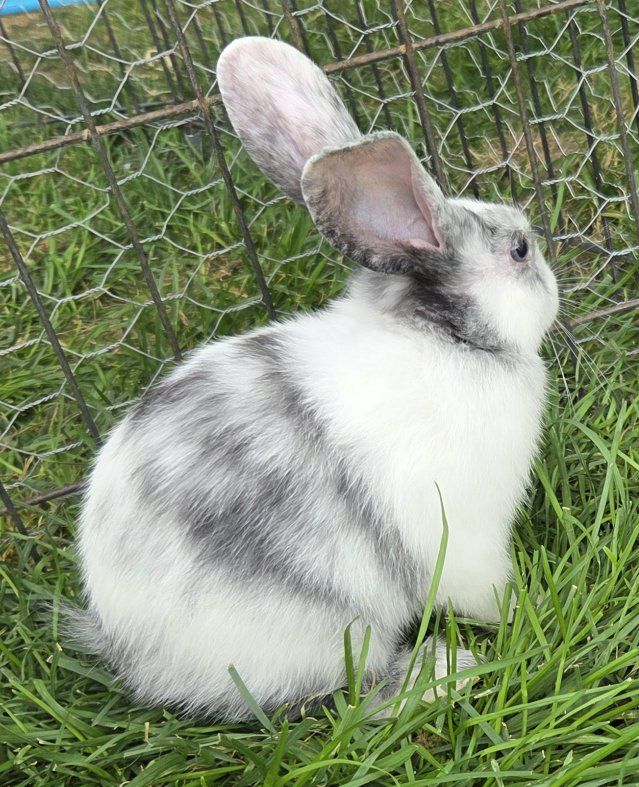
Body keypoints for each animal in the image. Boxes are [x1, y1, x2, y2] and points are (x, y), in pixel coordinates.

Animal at [74, 37, 559, 722]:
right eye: (519, 251)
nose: (551, 274)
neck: (448, 340)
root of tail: (136, 653)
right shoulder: (467, 540)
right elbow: (489, 594)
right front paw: (530, 610)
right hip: (333, 632)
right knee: (348, 696)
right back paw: (444, 672)